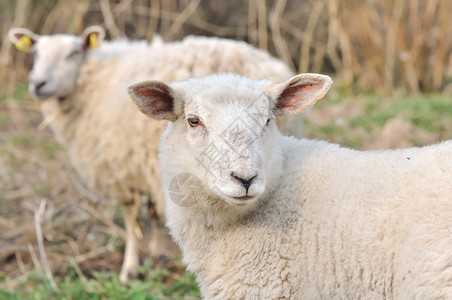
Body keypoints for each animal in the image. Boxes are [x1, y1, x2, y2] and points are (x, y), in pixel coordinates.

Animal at [7, 25, 304, 282]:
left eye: (72, 54)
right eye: (35, 54)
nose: (38, 84)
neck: (93, 77)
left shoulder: (121, 165)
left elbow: (131, 217)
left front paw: (130, 267)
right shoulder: (141, 162)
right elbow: (149, 211)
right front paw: (154, 256)